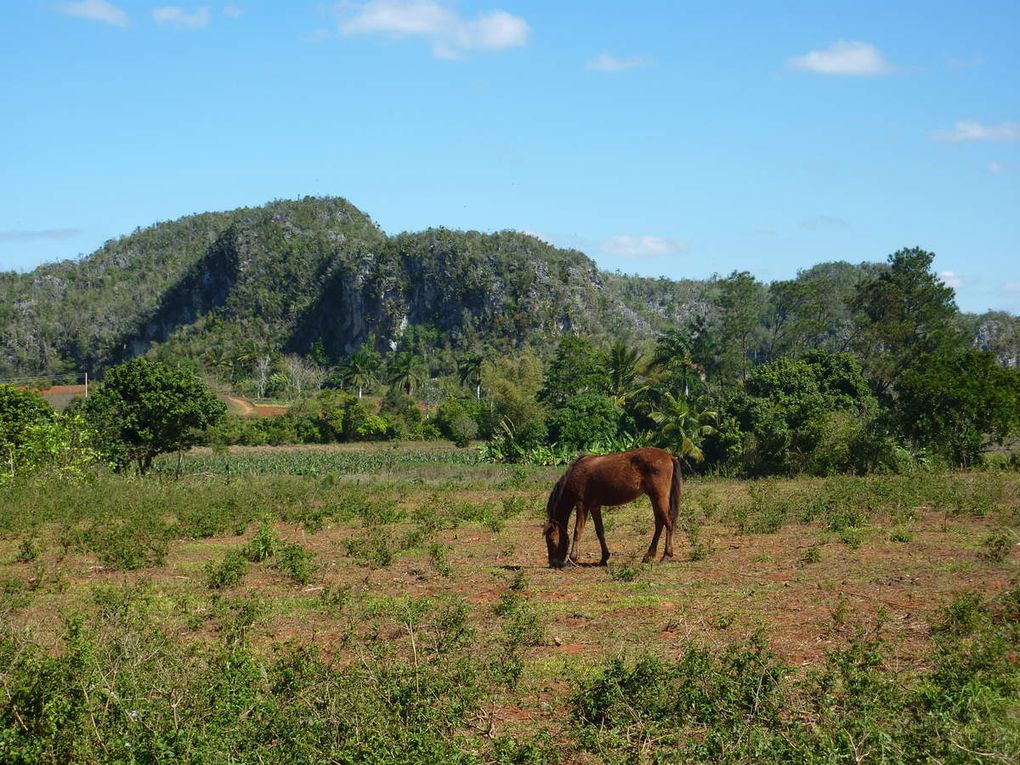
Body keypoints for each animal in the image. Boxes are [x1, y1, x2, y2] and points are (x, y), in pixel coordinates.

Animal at [542, 448, 685, 571]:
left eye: (551, 539)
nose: (553, 563)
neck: (576, 473)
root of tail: (669, 456)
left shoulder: (582, 504)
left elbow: (578, 531)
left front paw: (572, 560)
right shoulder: (594, 506)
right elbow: (600, 531)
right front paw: (604, 558)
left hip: (659, 498)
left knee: (669, 523)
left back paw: (666, 556)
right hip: (654, 498)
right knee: (660, 524)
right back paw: (649, 556)